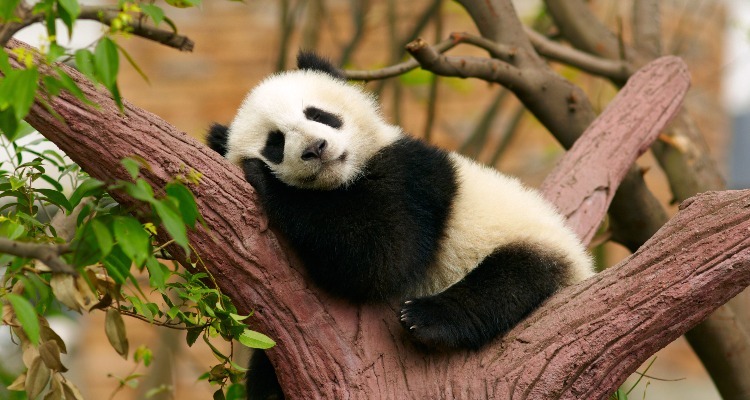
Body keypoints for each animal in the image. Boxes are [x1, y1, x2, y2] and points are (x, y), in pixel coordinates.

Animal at [207, 52, 594, 399]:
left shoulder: (411, 177)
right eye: (275, 142)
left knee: (510, 280)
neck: (342, 180)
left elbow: (382, 255)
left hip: (532, 241)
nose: (316, 148)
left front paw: (265, 180)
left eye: (318, 114)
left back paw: (427, 318)